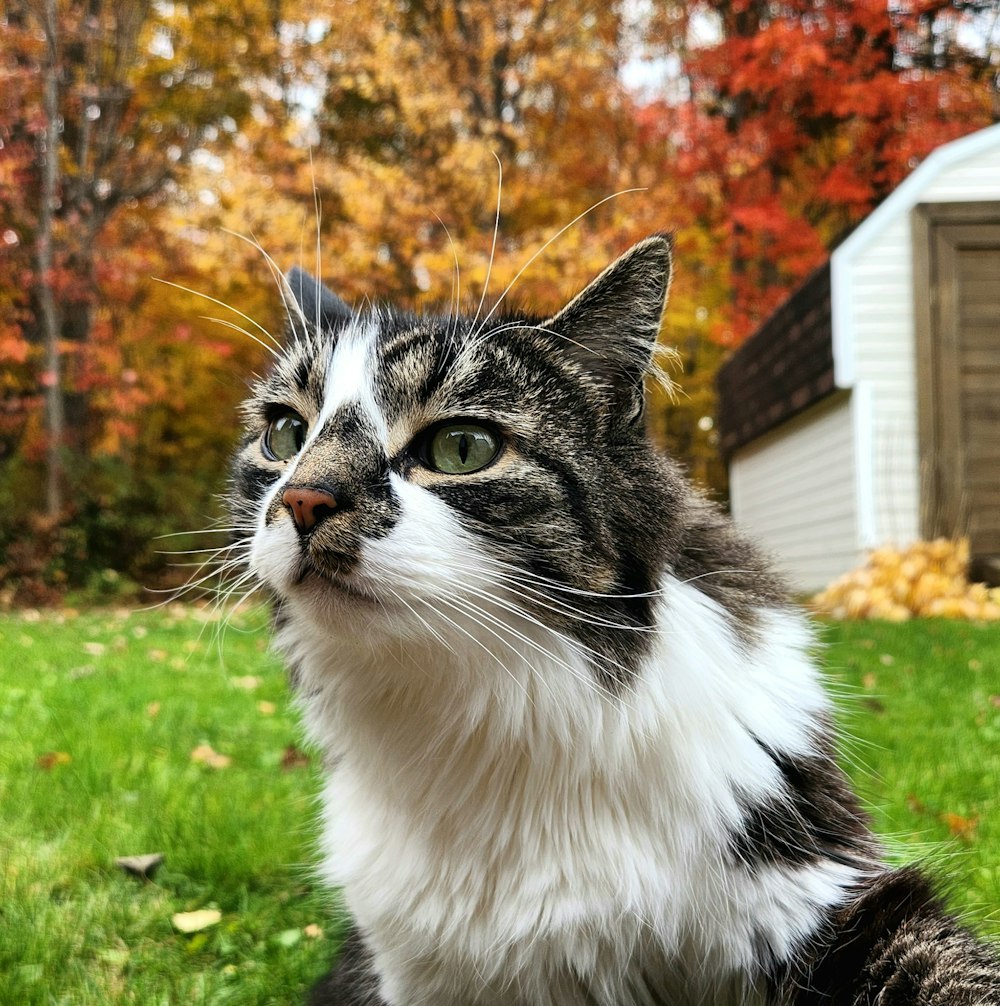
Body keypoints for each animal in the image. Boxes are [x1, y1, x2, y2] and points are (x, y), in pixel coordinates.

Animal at [228, 231, 997, 1001]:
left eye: (462, 448)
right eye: (286, 434)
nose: (302, 499)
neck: (496, 711)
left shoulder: (824, 891)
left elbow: (952, 973)